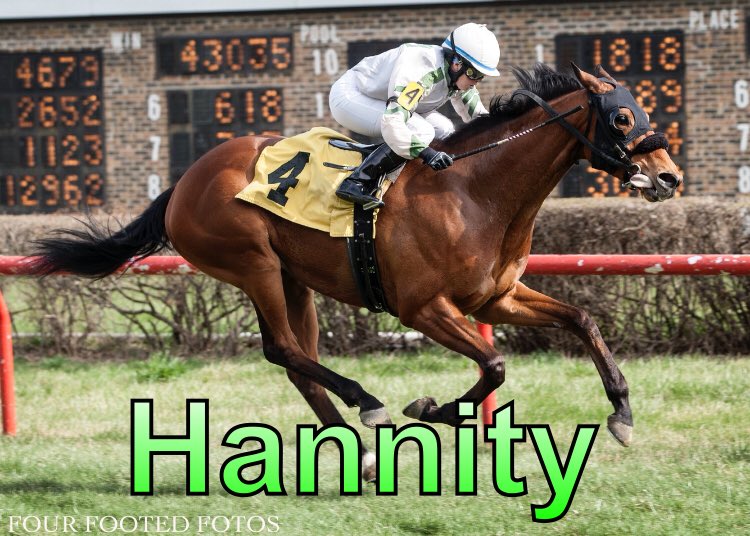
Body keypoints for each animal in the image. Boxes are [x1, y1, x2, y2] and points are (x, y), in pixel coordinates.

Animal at [31, 64, 682, 480]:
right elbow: (494, 365)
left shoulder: (495, 299)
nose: (670, 177)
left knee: (297, 359)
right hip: (253, 263)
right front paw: (432, 409)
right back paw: (368, 404)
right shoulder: (423, 308)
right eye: (622, 119)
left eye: (643, 109)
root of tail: (183, 182)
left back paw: (363, 455)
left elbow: (582, 319)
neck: (475, 190)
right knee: (283, 349)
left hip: (293, 279)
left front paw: (622, 413)